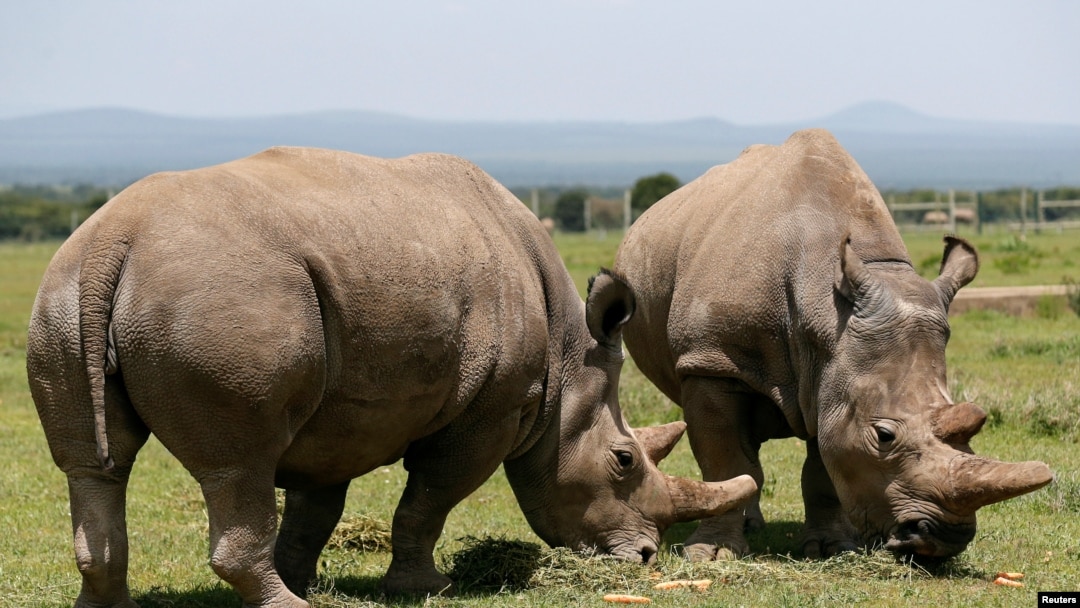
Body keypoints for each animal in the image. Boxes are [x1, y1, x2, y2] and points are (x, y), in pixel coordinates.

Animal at [25, 149, 756, 608]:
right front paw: (424, 589)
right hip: (224, 297)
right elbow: (429, 498)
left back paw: (112, 604)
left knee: (93, 466)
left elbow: (317, 508)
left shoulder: (338, 415)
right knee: (239, 464)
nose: (645, 559)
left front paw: (306, 575)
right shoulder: (489, 410)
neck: (568, 365)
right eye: (624, 460)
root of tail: (116, 238)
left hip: (66, 292)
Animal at [613, 130, 1049, 565]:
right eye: (884, 436)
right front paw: (712, 554)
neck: (823, 311)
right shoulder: (711, 361)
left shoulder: (835, 373)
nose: (945, 539)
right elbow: (724, 459)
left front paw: (832, 547)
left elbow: (825, 463)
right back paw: (749, 529)